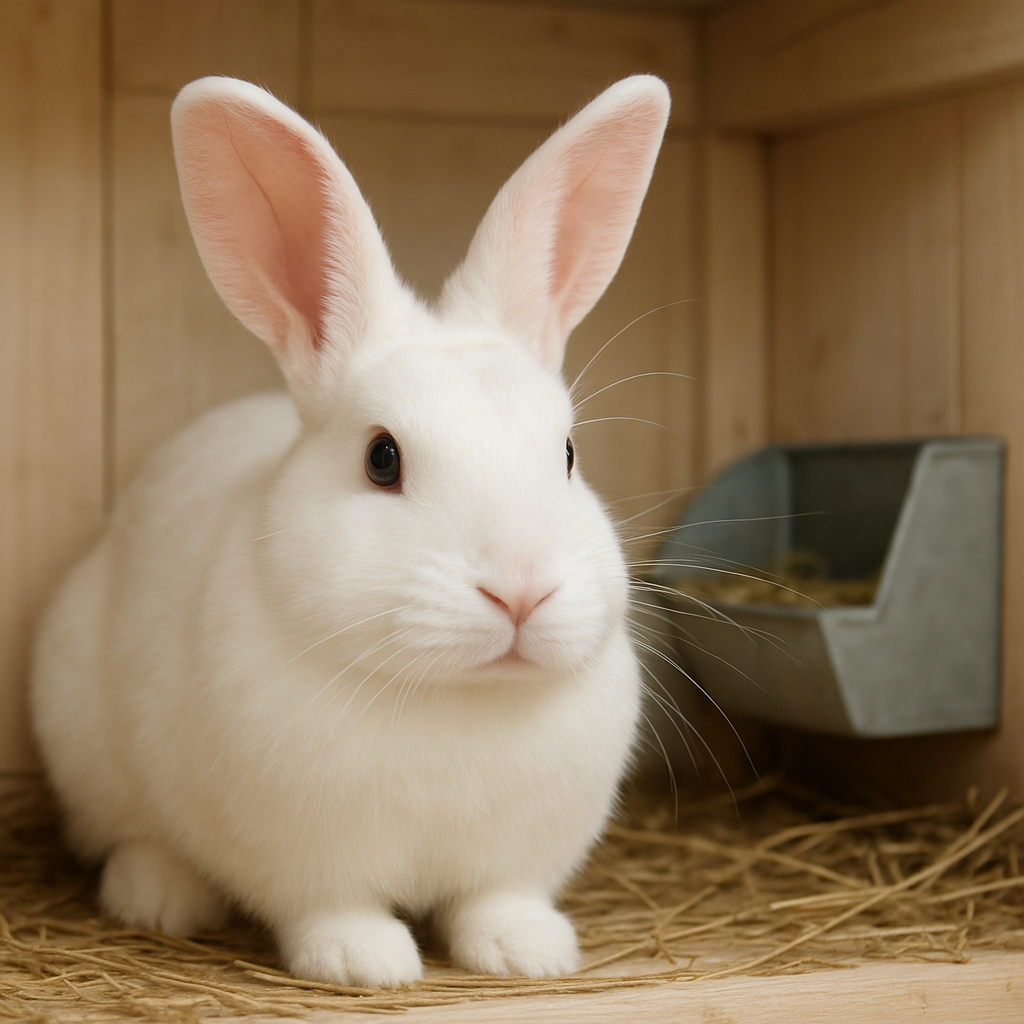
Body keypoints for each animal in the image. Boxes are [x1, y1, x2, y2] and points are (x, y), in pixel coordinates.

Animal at [30, 74, 670, 988]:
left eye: (569, 454)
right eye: (381, 458)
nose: (520, 590)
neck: (453, 697)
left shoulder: (515, 857)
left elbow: (497, 899)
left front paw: (528, 954)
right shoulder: (306, 858)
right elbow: (332, 907)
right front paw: (364, 963)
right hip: (86, 748)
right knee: (133, 835)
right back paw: (158, 897)